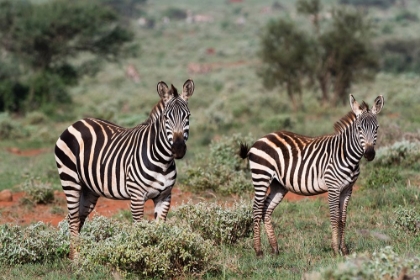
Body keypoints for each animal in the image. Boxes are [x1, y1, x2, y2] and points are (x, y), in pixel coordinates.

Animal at [53, 79, 194, 260]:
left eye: (188, 116)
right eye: (166, 117)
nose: (178, 149)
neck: (162, 161)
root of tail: (76, 123)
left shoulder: (165, 196)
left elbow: (159, 229)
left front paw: (159, 258)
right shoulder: (137, 196)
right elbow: (140, 230)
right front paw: (140, 259)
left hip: (89, 189)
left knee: (78, 218)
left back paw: (80, 254)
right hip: (70, 179)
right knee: (72, 218)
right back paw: (75, 258)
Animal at [240, 95, 384, 258]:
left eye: (377, 128)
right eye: (359, 128)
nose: (370, 154)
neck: (346, 155)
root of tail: (261, 139)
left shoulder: (348, 189)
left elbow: (343, 219)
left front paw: (344, 250)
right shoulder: (333, 188)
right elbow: (335, 218)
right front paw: (335, 250)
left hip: (278, 185)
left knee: (266, 209)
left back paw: (275, 249)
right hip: (261, 176)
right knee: (257, 209)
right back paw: (258, 251)